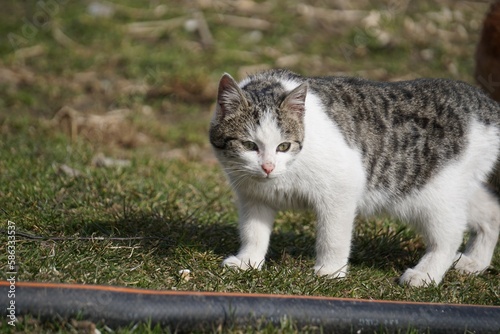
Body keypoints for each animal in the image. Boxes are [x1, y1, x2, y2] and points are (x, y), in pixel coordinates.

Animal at [208, 68, 500, 288]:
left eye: (284, 146)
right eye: (249, 145)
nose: (268, 167)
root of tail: (487, 106)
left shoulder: (342, 188)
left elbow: (333, 236)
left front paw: (330, 272)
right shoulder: (253, 196)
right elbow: (253, 231)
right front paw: (248, 262)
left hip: (434, 195)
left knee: (449, 235)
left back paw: (424, 274)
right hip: (454, 187)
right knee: (491, 212)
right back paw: (474, 262)